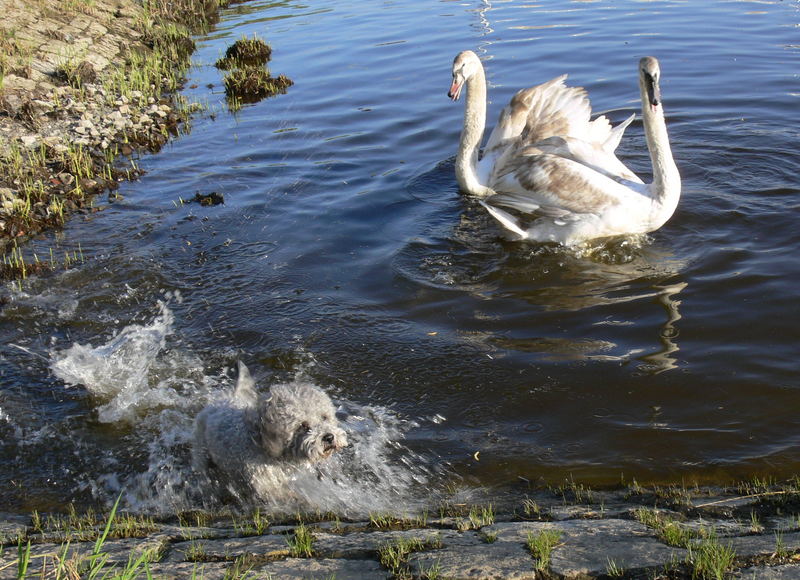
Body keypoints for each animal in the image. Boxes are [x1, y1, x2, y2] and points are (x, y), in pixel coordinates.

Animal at [192, 362, 348, 494]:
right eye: (303, 425)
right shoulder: (263, 482)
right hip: (200, 449)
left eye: (324, 417)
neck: (260, 439)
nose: (329, 437)